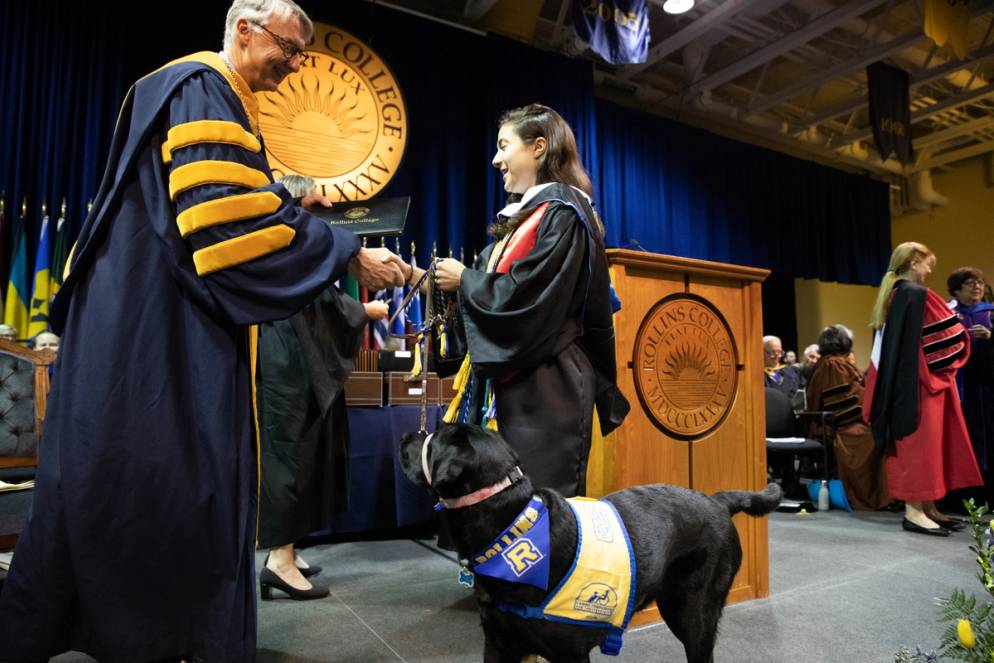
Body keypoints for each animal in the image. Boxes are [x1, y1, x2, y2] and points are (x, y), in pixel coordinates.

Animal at [400, 426, 780, 663]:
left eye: (432, 438)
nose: (408, 433)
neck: (512, 524)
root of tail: (716, 500)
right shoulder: (498, 644)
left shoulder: (569, 654)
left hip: (693, 612)